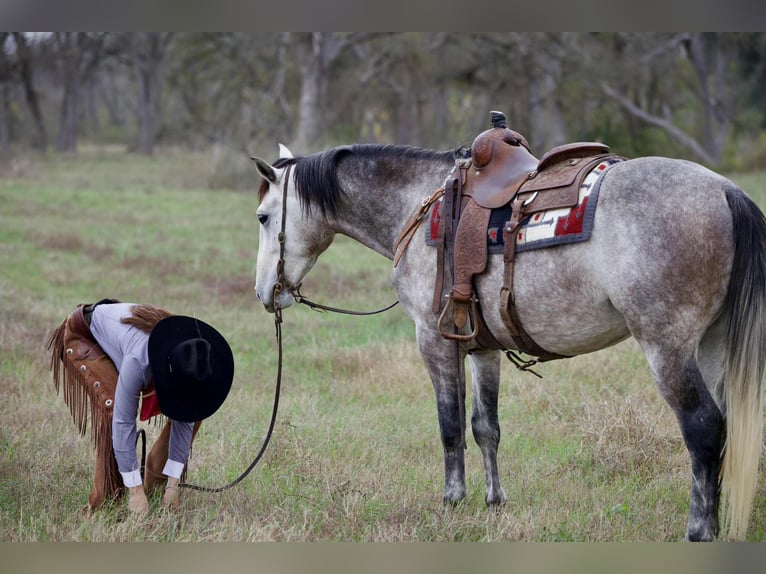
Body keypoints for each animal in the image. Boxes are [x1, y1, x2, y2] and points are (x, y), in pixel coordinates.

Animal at [251, 139, 766, 541]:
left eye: (262, 217)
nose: (264, 292)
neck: (418, 205)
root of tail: (725, 190)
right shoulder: (482, 347)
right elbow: (486, 427)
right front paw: (494, 500)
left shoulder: (434, 341)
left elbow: (450, 426)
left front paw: (452, 501)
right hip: (712, 344)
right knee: (726, 428)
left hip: (667, 347)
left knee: (703, 428)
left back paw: (698, 530)